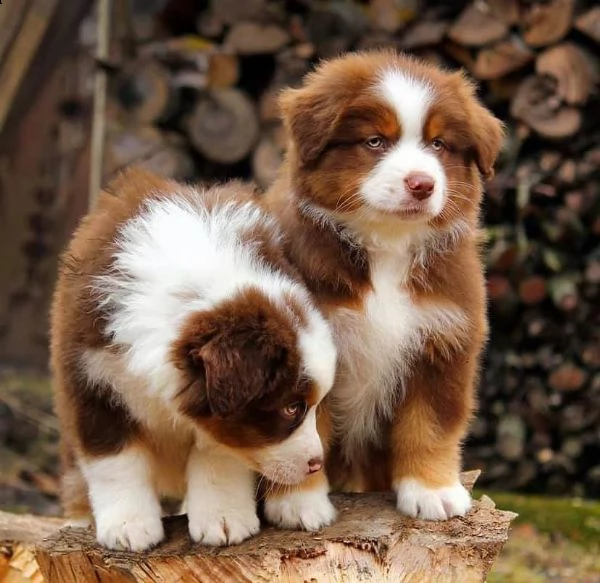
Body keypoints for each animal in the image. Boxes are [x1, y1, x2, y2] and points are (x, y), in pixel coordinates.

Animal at [50, 169, 338, 552]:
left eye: (312, 406)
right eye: (291, 408)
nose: (316, 464)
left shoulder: (223, 421)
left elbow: (219, 453)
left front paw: (224, 520)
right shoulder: (91, 379)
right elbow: (114, 461)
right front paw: (129, 526)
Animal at [264, 51, 504, 520]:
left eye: (438, 145)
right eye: (375, 141)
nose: (422, 184)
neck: (387, 247)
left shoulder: (443, 341)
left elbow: (430, 425)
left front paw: (432, 490)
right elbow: (301, 435)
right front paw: (298, 503)